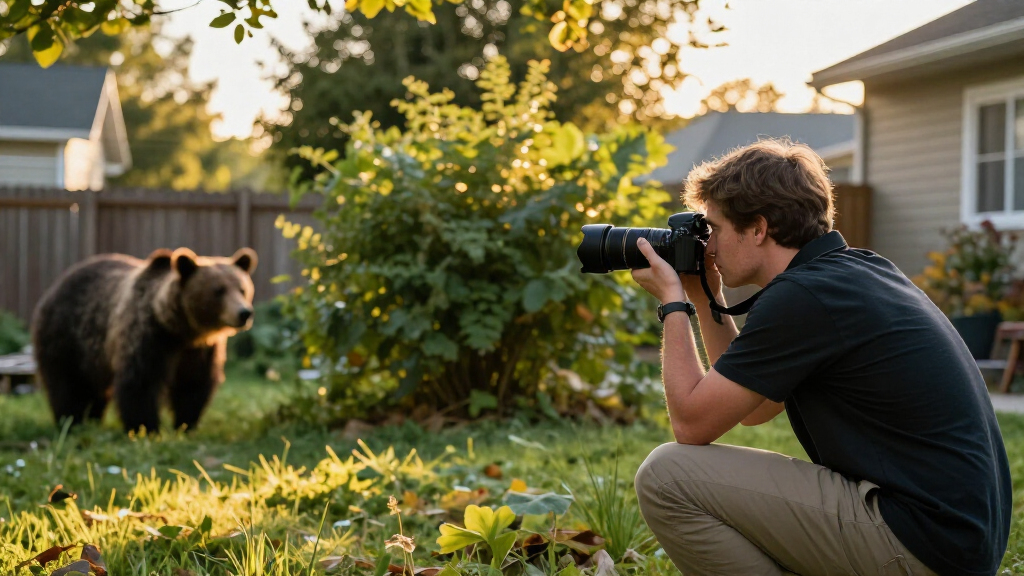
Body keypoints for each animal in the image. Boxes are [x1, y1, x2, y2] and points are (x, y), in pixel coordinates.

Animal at [31, 247, 258, 433]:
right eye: (218, 290)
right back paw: (70, 421)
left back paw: (94, 419)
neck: (181, 330)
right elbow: (140, 382)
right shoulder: (148, 337)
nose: (244, 313)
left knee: (95, 388)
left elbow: (193, 384)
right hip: (65, 335)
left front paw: (186, 424)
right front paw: (146, 428)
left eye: (242, 289)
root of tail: (58, 282)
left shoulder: (200, 351)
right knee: (66, 383)